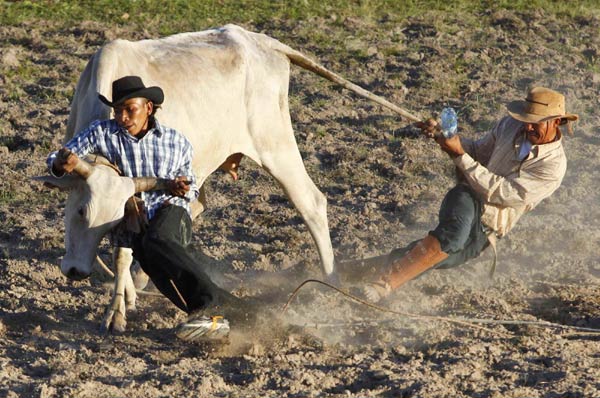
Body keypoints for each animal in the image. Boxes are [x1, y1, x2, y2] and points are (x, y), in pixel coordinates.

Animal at [35, 24, 414, 332]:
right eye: (79, 211)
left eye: (90, 213)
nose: (76, 271)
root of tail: (261, 41)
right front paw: (127, 293)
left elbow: (124, 251)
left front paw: (116, 311)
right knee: (197, 204)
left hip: (275, 143)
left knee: (311, 202)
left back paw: (329, 281)